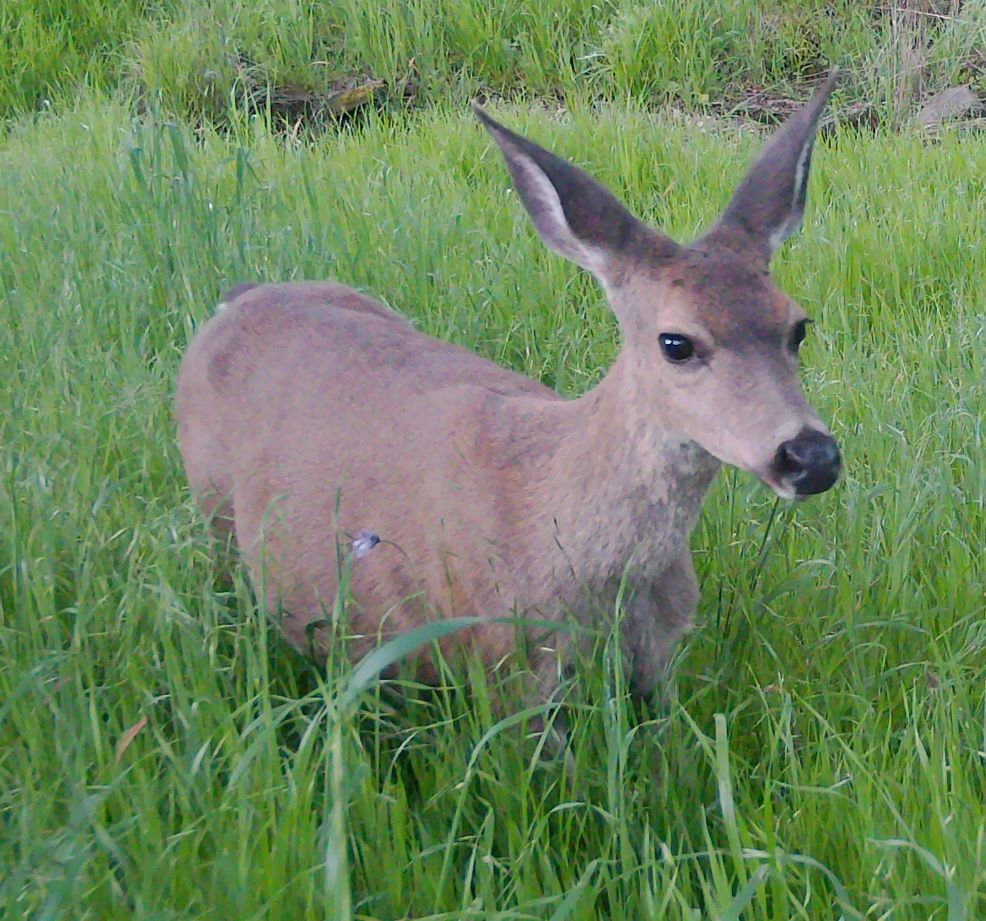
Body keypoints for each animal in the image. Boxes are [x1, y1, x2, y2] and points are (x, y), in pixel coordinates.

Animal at [177, 74, 842, 722]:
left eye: (798, 326)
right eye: (675, 342)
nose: (811, 457)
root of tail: (238, 299)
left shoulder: (661, 653)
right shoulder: (509, 662)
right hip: (214, 511)